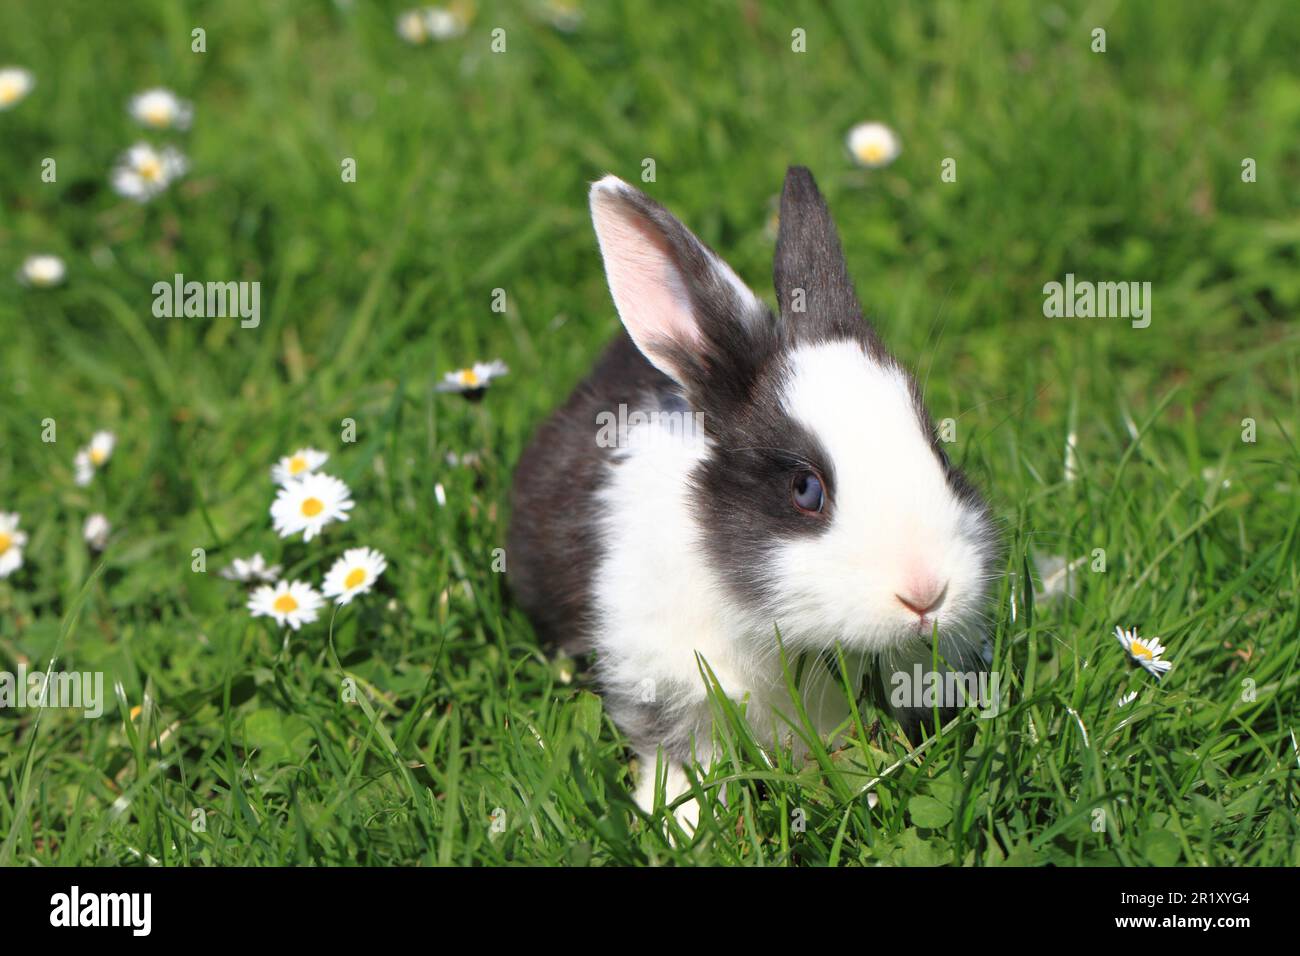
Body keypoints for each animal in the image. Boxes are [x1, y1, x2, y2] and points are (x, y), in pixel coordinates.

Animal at [508, 166, 998, 830]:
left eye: (940, 455)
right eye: (806, 490)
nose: (925, 594)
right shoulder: (661, 682)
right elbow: (677, 765)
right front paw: (681, 830)